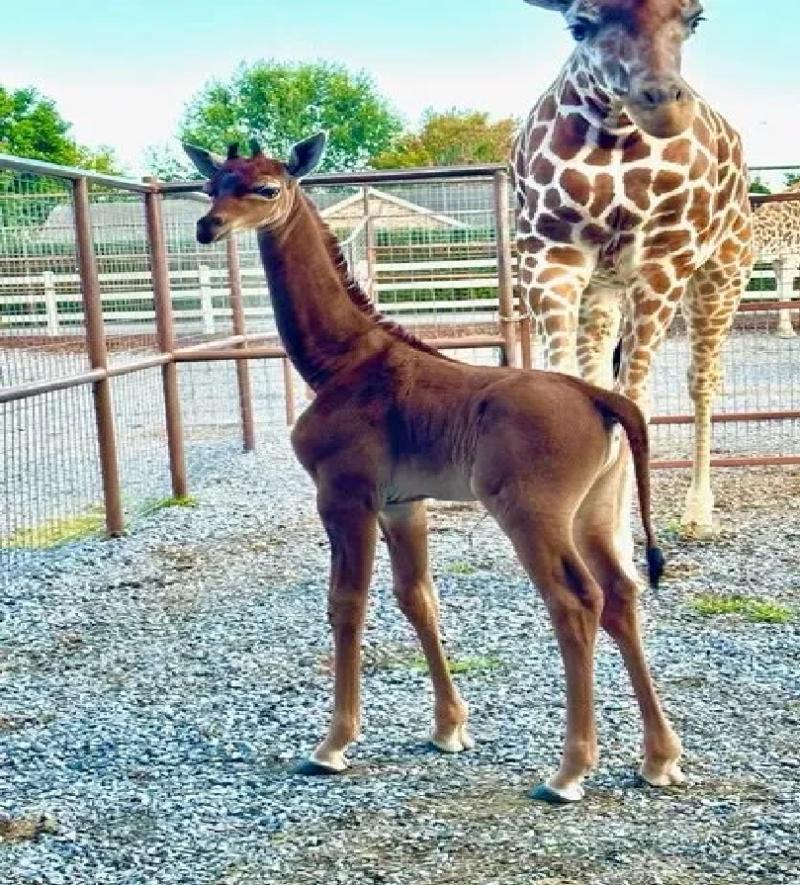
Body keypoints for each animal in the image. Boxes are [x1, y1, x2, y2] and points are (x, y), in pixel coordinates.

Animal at [184, 134, 683, 804]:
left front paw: (333, 745)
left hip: (532, 513)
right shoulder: (403, 503)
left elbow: (347, 602)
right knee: (623, 597)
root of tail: (602, 398)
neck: (341, 361)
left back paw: (568, 772)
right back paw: (659, 759)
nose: (208, 226)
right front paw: (449, 729)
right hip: (596, 512)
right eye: (212, 185)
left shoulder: (345, 494)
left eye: (266, 188)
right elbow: (417, 598)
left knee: (577, 601)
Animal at [512, 0, 754, 542]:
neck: (615, 138)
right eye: (579, 26)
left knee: (702, 379)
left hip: (721, 276)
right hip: (604, 289)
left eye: (695, 19)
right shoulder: (549, 256)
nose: (662, 105)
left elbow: (636, 400)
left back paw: (697, 513)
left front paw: (619, 541)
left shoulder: (663, 261)